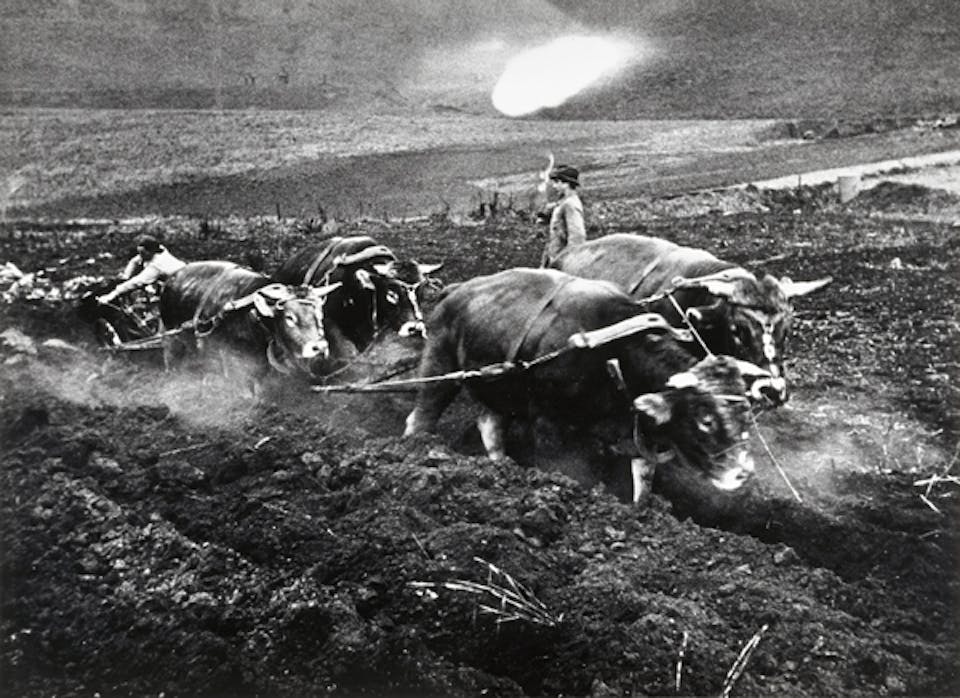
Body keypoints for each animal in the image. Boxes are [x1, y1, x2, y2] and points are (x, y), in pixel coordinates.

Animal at [159, 261, 339, 383]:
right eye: (289, 317)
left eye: (319, 313)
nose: (319, 347)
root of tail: (172, 278)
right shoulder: (230, 360)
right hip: (171, 336)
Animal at [403, 268, 770, 503]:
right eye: (705, 420)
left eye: (745, 414)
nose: (743, 473)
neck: (615, 353)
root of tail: (456, 290)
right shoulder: (550, 427)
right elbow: (572, 474)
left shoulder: (635, 436)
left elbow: (642, 485)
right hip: (440, 365)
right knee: (421, 416)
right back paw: (413, 451)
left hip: (502, 389)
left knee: (489, 423)